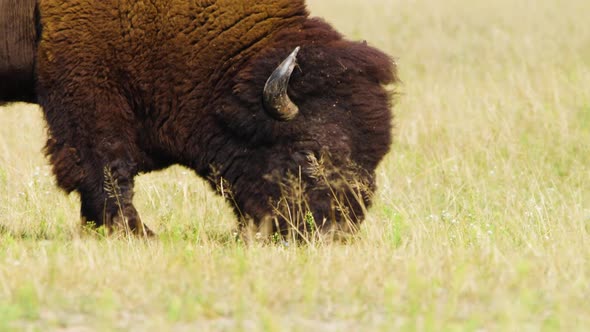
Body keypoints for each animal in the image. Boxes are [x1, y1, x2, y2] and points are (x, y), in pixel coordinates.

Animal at [0, 0, 400, 239]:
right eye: (308, 153)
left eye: (377, 156)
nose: (336, 232)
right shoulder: (89, 88)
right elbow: (107, 165)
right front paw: (137, 232)